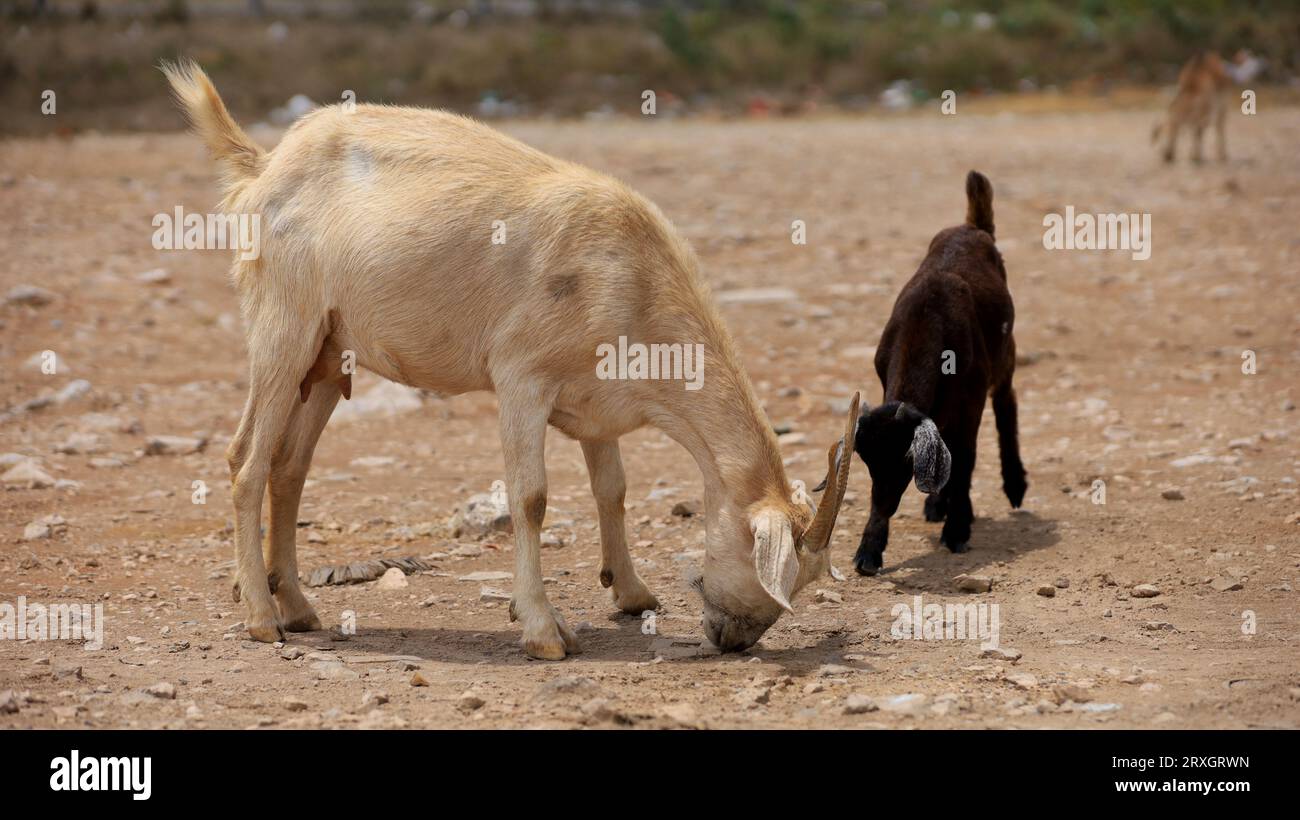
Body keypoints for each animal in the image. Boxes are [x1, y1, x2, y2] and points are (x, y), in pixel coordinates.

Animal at [167, 57, 857, 660]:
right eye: (774, 571)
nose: (733, 638)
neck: (632, 278)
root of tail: (262, 168)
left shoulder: (598, 401)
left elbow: (613, 489)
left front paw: (631, 593)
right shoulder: (523, 378)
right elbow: (531, 498)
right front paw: (544, 630)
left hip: (331, 354)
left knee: (291, 466)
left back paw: (299, 607)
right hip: (284, 328)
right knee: (246, 460)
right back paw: (261, 620)